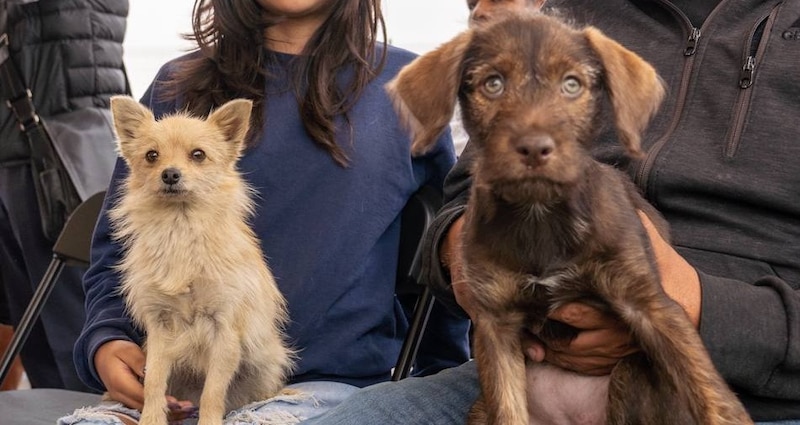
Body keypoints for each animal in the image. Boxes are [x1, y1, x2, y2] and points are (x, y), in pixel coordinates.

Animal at [107, 97, 294, 424]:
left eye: (198, 155)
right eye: (151, 156)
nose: (170, 174)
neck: (181, 229)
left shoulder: (224, 331)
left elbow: (213, 391)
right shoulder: (159, 329)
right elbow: (153, 382)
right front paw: (151, 418)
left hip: (263, 368)